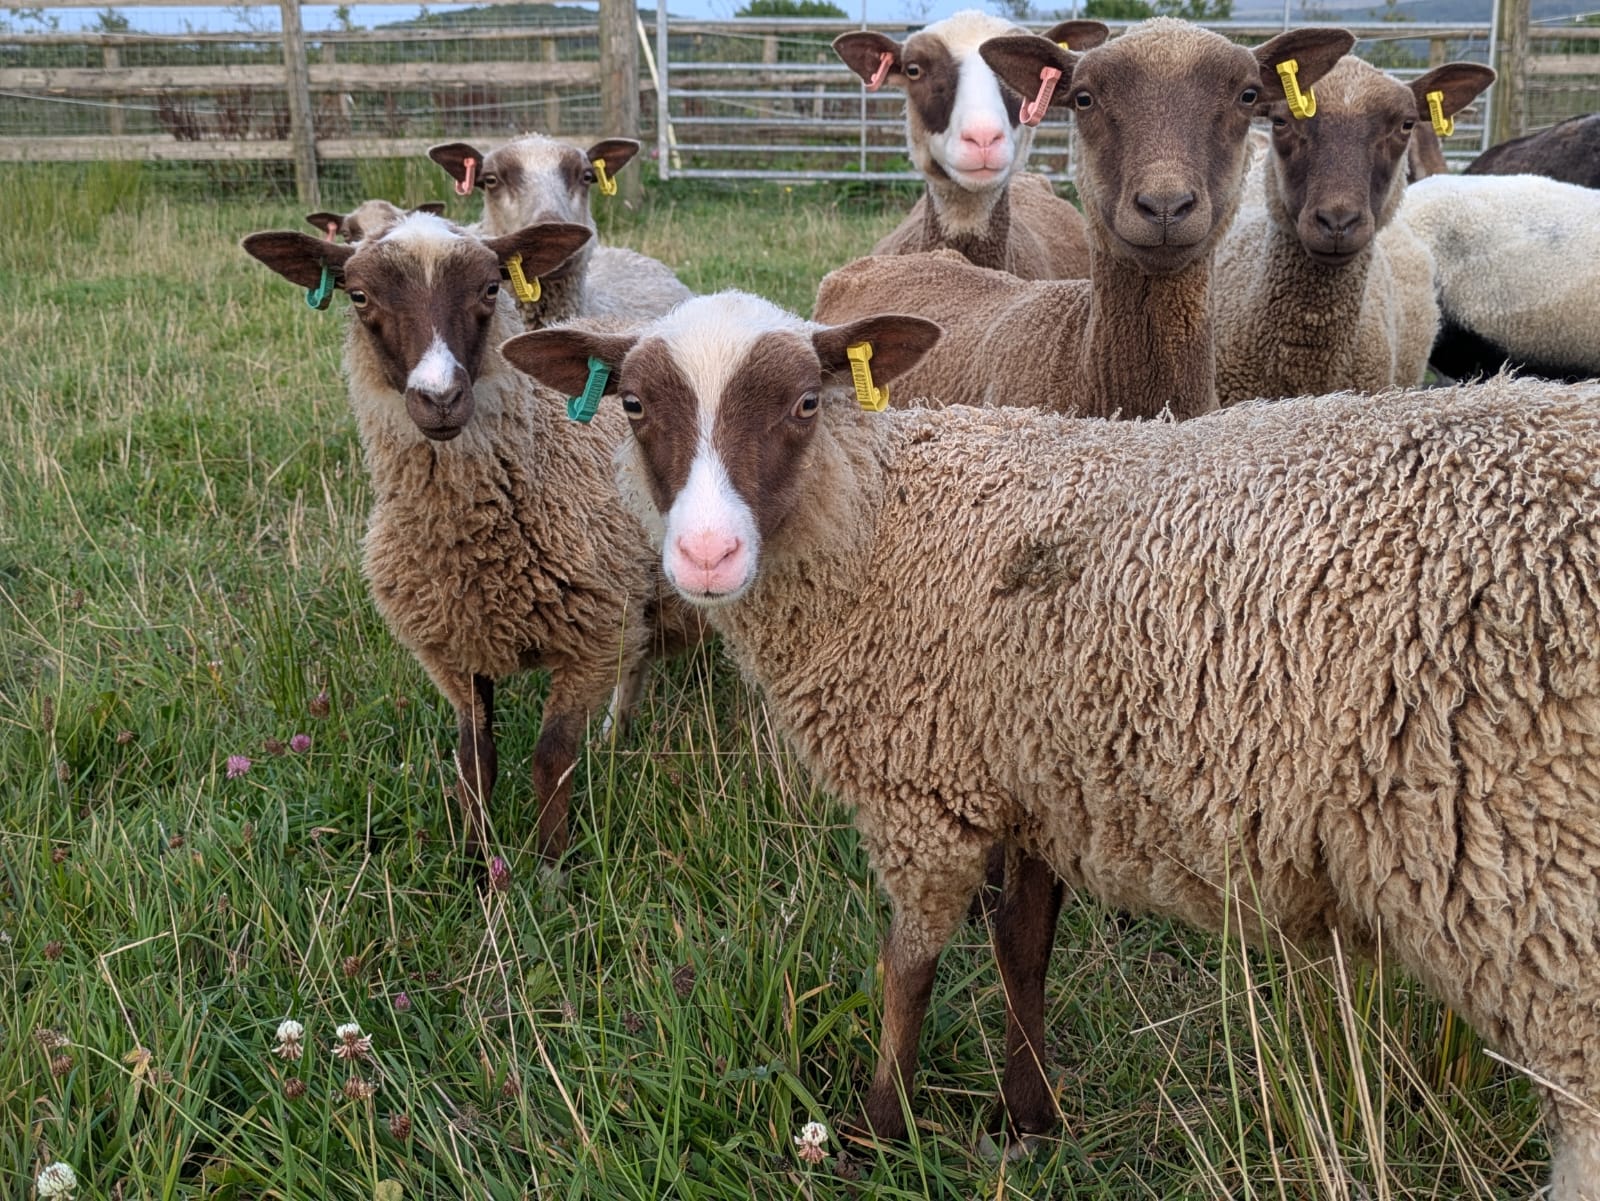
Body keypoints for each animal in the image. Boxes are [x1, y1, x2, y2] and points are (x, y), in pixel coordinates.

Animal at [240, 213, 702, 860]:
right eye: (358, 296)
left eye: (489, 289)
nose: (439, 399)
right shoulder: (453, 650)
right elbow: (474, 762)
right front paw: (476, 861)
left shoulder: (588, 637)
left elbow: (551, 760)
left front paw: (551, 865)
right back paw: (616, 735)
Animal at [502, 289, 1600, 1196]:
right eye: (632, 405)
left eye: (806, 403)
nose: (705, 553)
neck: (880, 520)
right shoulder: (1030, 771)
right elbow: (1022, 950)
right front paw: (1025, 1120)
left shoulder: (922, 787)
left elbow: (908, 963)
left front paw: (874, 1133)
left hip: (1543, 893)